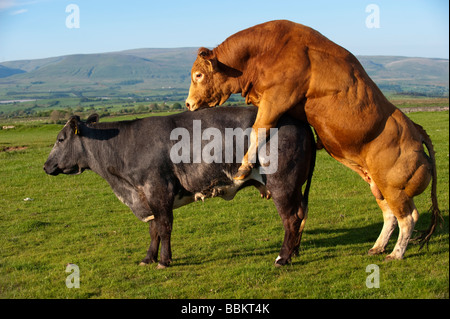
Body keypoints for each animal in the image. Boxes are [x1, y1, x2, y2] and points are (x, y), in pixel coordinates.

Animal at [44, 107, 314, 268]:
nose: (46, 166)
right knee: (301, 215)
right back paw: (295, 252)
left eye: (60, 139)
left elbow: (164, 227)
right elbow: (153, 230)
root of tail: (298, 121)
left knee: (290, 219)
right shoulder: (148, 197)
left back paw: (283, 257)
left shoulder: (158, 190)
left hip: (282, 184)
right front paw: (148, 258)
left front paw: (164, 260)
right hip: (295, 188)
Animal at [185, 19, 442, 260]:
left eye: (198, 74)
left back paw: (396, 253)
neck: (267, 50)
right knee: (390, 214)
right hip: (377, 184)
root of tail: (416, 130)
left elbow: (259, 128)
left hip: (393, 187)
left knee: (408, 217)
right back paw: (378, 247)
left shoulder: (276, 98)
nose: (188, 104)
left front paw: (244, 167)